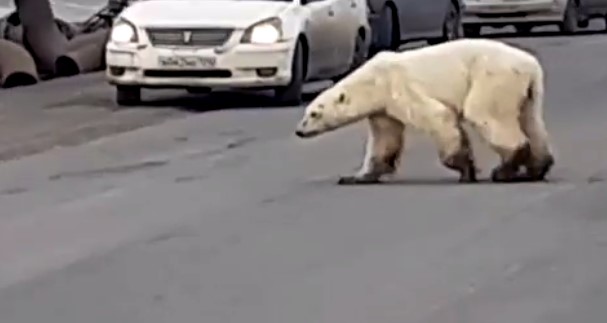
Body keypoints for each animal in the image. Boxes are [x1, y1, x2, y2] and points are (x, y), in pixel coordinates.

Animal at [294, 38, 556, 185]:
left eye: (314, 114)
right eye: (306, 113)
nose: (298, 131)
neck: (373, 81)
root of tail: (530, 64)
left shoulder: (398, 86)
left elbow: (437, 115)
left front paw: (465, 169)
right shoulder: (382, 108)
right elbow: (383, 140)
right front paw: (355, 177)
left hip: (492, 76)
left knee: (483, 112)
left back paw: (504, 170)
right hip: (527, 90)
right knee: (531, 121)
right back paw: (537, 168)